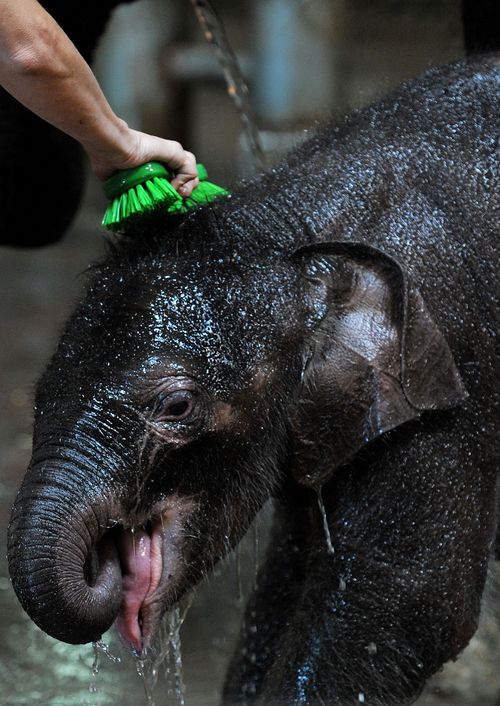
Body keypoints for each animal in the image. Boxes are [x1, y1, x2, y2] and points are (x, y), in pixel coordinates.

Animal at [5, 56, 498, 704]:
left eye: (177, 406)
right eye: (38, 397)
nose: (100, 561)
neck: (287, 237)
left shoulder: (444, 361)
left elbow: (408, 596)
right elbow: (287, 574)